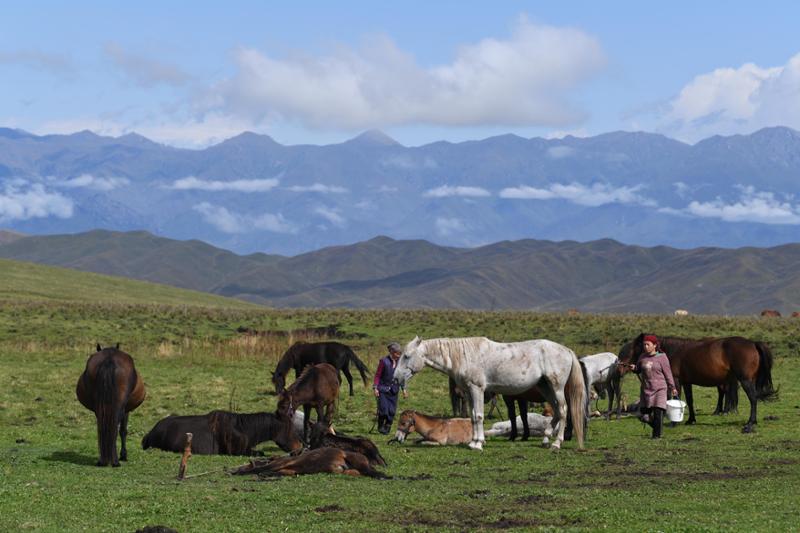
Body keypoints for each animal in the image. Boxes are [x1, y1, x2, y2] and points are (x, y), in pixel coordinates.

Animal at [393, 336, 586, 450]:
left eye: (407, 356)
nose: (395, 377)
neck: (464, 356)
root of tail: (567, 351)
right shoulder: (468, 392)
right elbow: (472, 416)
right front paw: (474, 441)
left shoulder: (477, 389)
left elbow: (478, 416)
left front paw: (478, 444)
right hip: (545, 388)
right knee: (557, 411)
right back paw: (546, 439)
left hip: (557, 387)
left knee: (563, 411)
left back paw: (556, 443)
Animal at [620, 334, 777, 433]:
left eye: (632, 349)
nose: (620, 367)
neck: (673, 350)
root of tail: (753, 343)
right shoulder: (687, 382)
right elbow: (689, 401)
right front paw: (691, 420)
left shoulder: (676, 380)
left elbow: (675, 397)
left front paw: (673, 423)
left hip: (745, 380)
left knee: (753, 399)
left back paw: (750, 423)